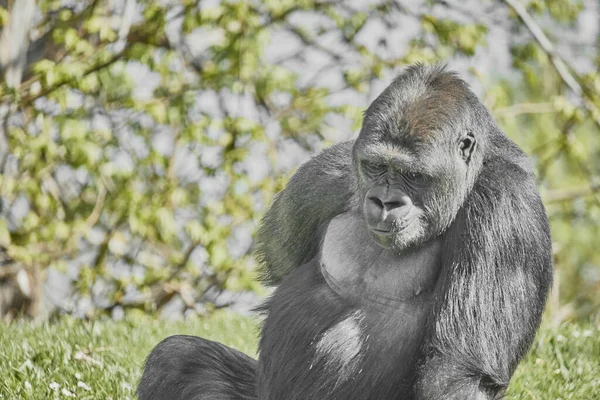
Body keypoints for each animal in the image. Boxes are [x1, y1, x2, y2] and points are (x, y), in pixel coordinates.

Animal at [137, 64, 552, 400]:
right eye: (376, 166)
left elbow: (457, 371)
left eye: (413, 175)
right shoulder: (326, 172)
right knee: (176, 359)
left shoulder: (503, 205)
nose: (385, 201)